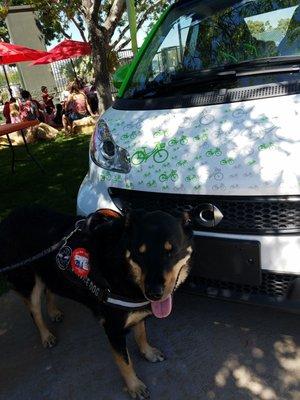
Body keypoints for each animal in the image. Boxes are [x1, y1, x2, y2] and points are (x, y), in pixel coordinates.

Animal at [0, 206, 193, 400]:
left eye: (171, 251)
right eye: (141, 253)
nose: (153, 293)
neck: (122, 265)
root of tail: (9, 217)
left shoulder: (136, 313)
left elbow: (141, 334)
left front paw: (148, 352)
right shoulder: (113, 329)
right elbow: (125, 362)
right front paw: (134, 386)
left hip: (49, 273)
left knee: (49, 289)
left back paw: (53, 312)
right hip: (28, 283)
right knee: (34, 312)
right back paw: (46, 335)